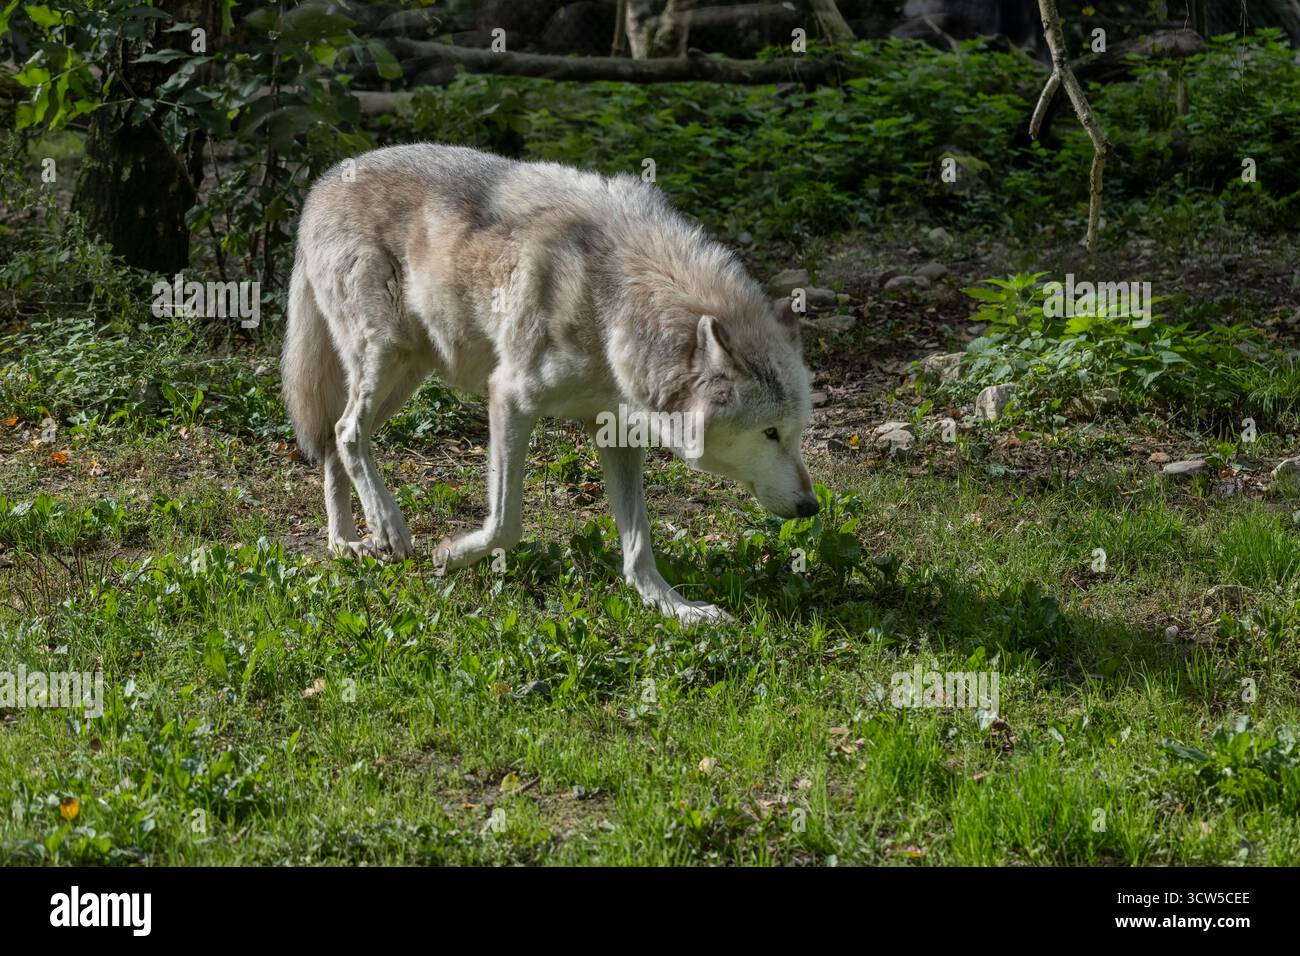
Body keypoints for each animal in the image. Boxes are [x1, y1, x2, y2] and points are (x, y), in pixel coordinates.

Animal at [282, 144, 818, 624]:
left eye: (796, 434)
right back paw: (389, 529)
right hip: (387, 359)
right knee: (348, 432)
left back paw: (346, 543)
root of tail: (323, 183)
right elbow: (506, 523)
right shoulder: (509, 397)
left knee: (333, 442)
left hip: (405, 376)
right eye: (770, 433)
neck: (614, 300)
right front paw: (451, 554)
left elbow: (639, 540)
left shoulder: (615, 431)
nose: (812, 507)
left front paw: (672, 606)